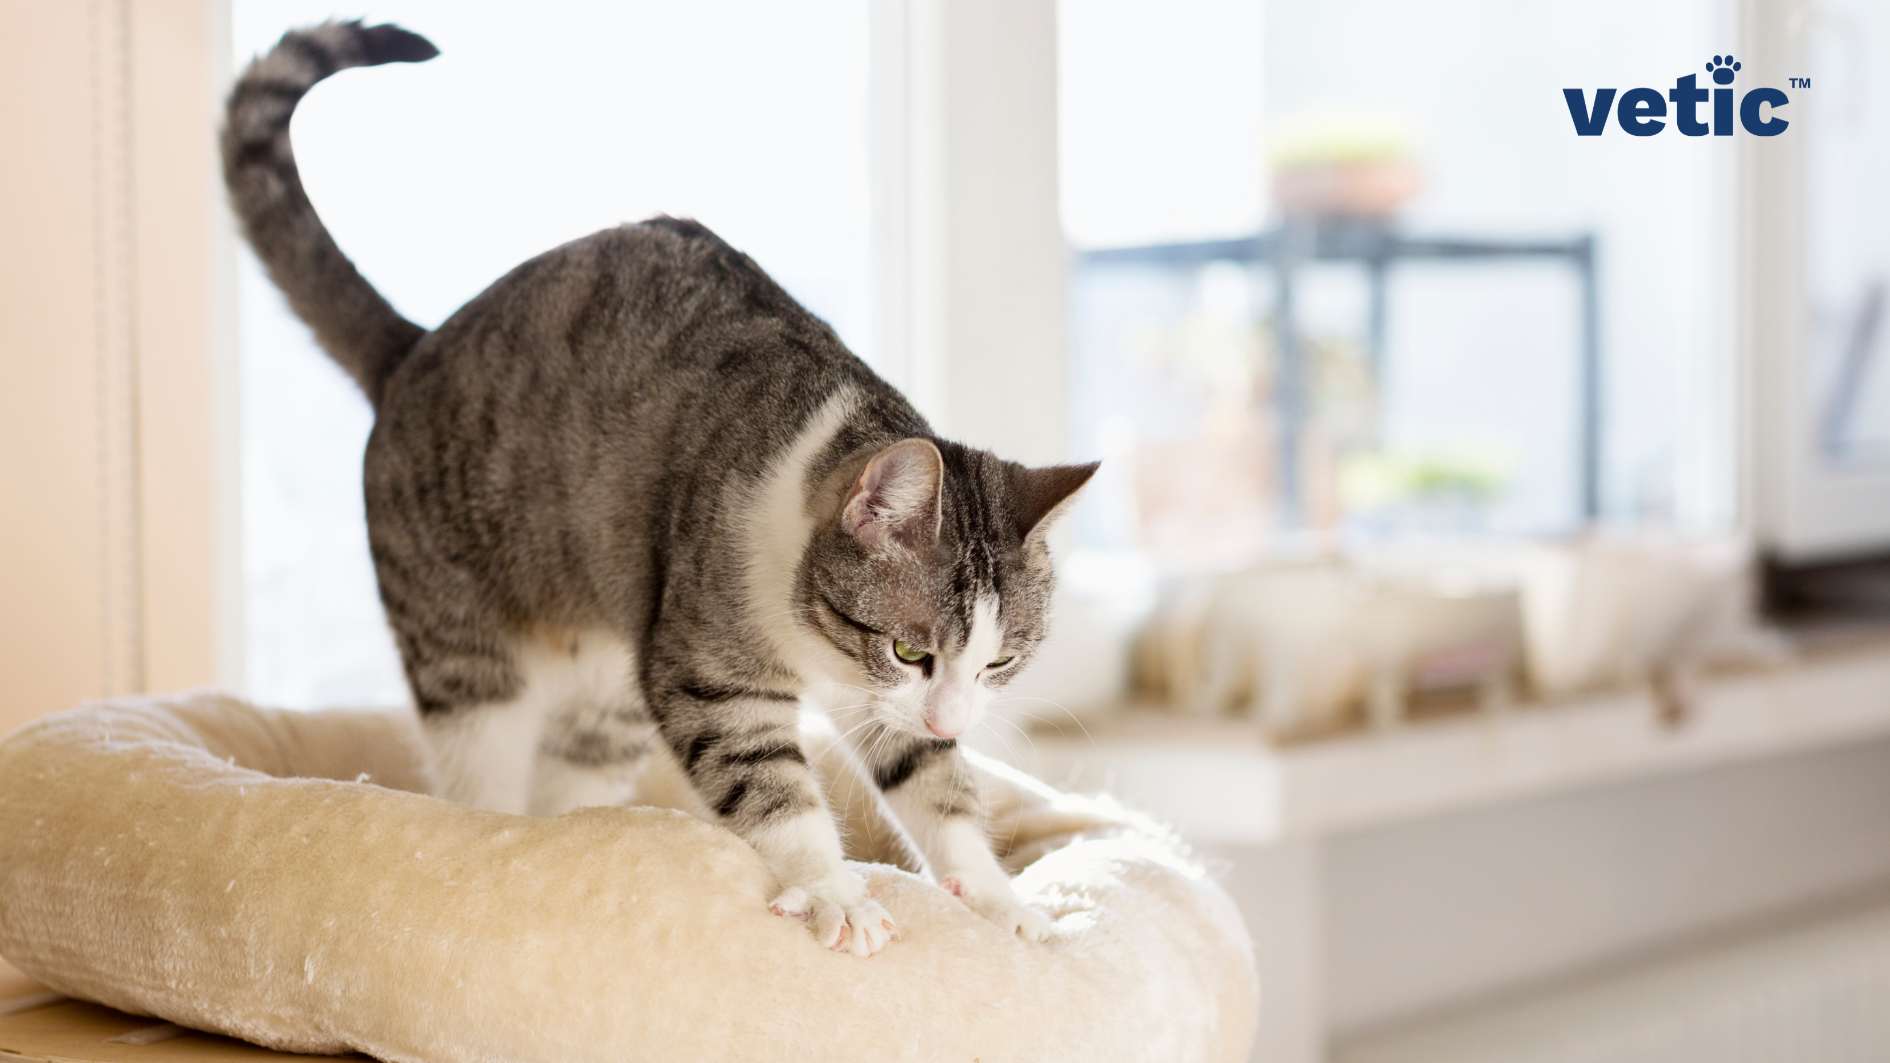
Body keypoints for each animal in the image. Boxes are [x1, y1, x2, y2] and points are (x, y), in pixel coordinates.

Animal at [224, 20, 1096, 953]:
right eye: (908, 649)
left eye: (1001, 660)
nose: (952, 716)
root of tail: (412, 348)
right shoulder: (706, 661)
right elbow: (770, 781)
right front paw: (832, 890)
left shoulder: (879, 705)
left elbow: (935, 783)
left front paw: (1002, 901)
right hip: (463, 650)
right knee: (478, 767)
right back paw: (495, 835)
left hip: (605, 697)